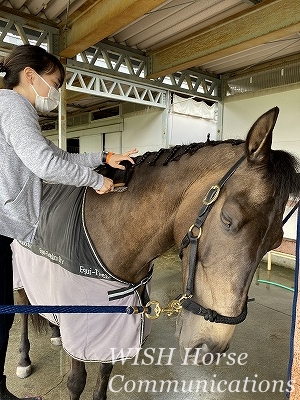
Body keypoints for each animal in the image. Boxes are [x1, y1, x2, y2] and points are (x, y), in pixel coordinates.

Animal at [14, 107, 300, 400]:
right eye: (228, 219)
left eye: (277, 241)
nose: (209, 349)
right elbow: (76, 381)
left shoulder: (116, 316)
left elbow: (104, 372)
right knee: (23, 309)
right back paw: (24, 359)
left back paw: (55, 332)